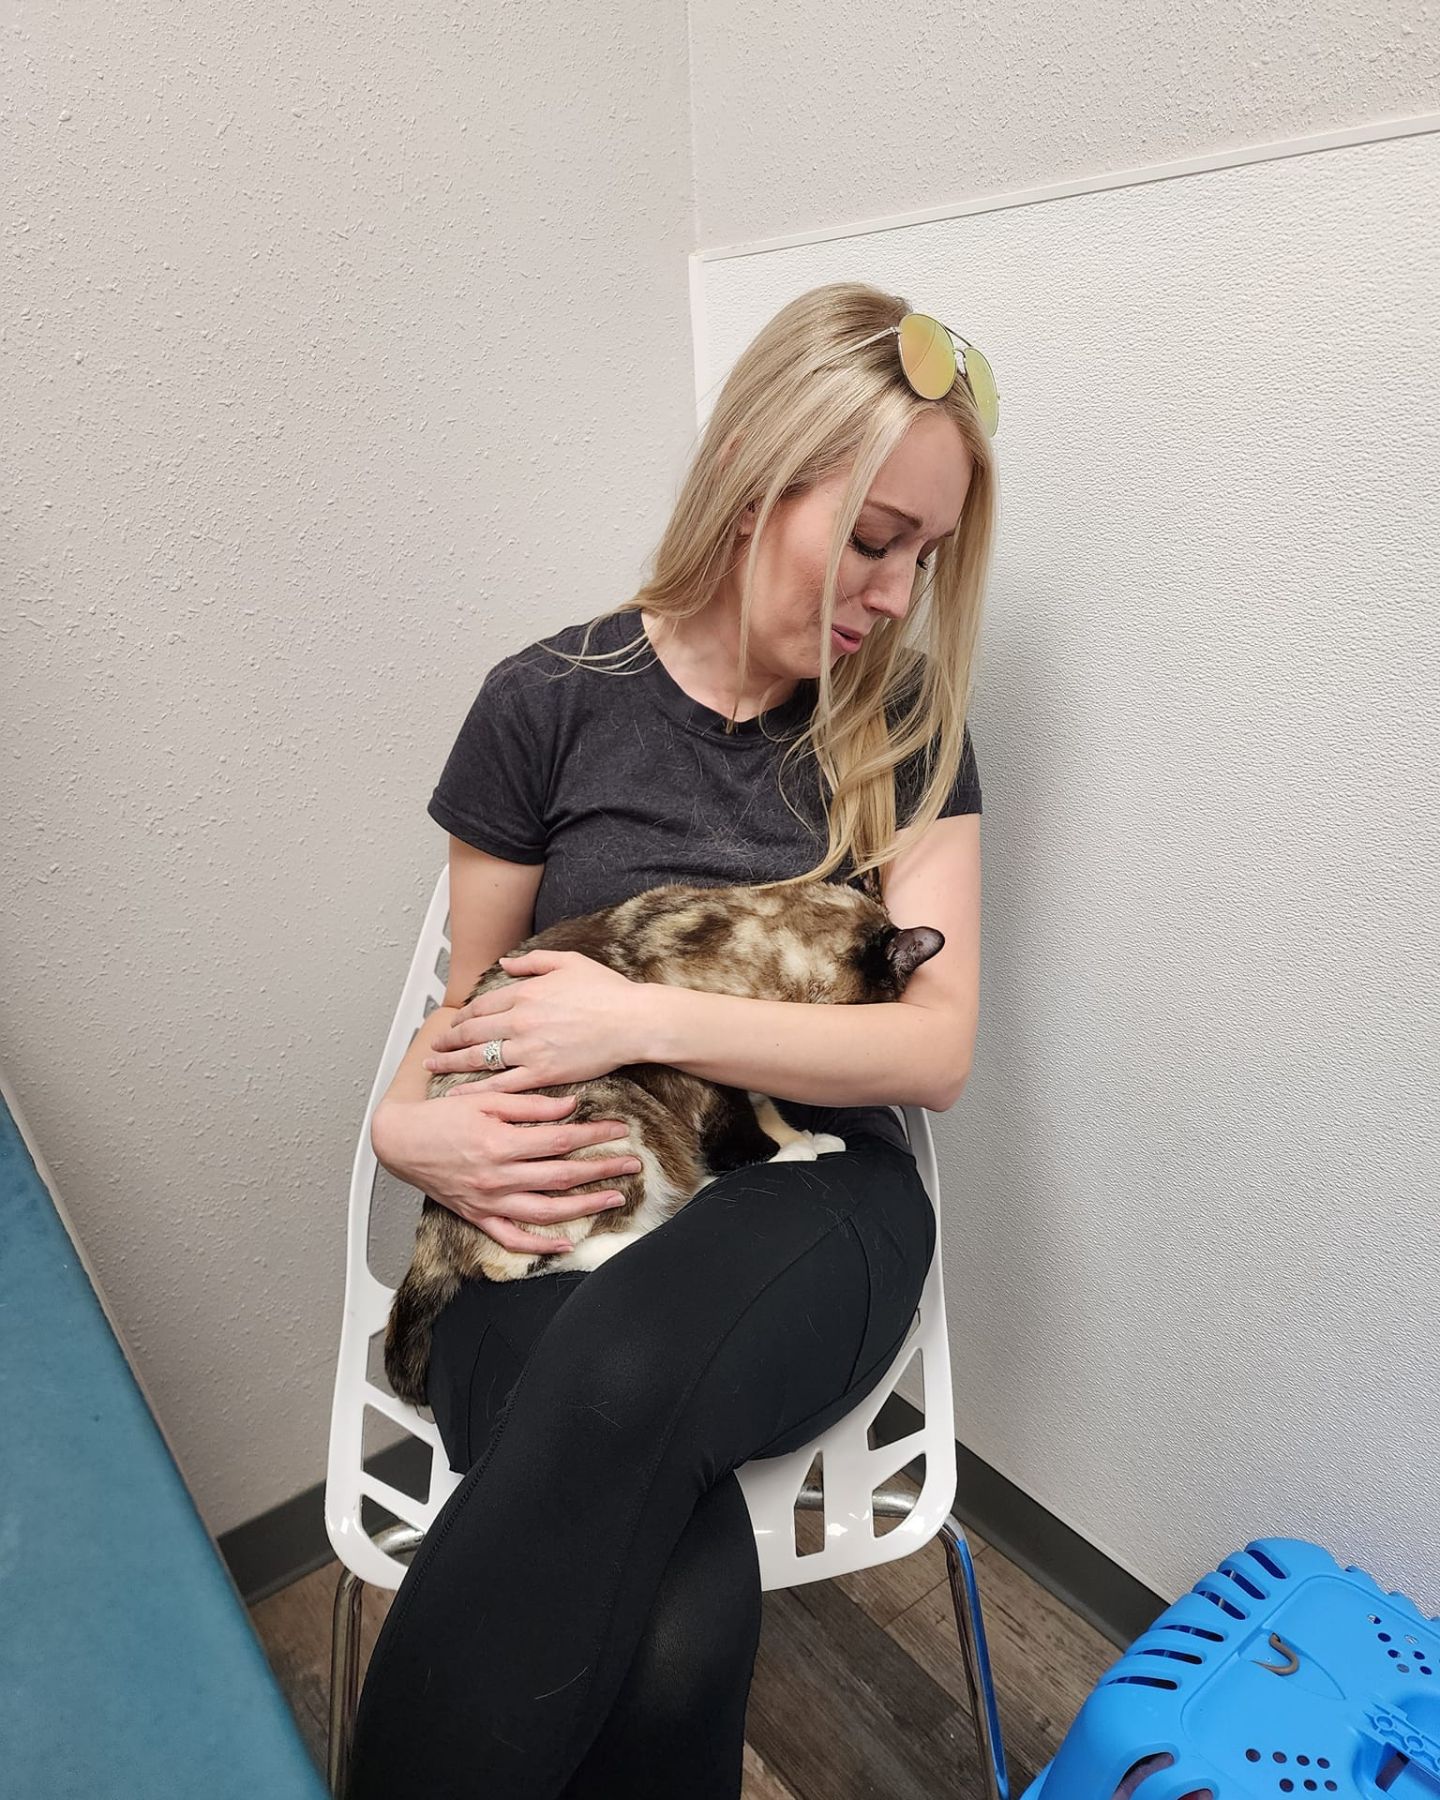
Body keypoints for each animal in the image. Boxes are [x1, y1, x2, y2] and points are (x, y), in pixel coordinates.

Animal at [381, 878, 943, 1411]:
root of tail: (436, 1218)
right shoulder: (704, 1063)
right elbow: (744, 1129)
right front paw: (788, 1153)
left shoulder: (750, 1067)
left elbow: (769, 1113)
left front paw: (811, 1139)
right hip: (616, 1116)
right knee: (518, 1262)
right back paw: (658, 1222)